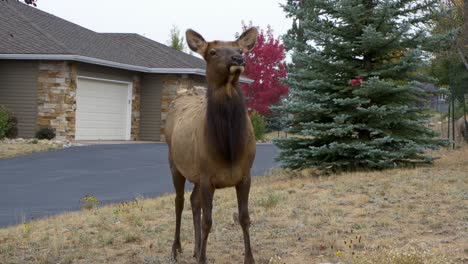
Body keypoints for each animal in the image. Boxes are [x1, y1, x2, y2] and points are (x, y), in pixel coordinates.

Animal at [164, 27, 260, 262]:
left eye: (239, 49)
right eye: (213, 52)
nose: (238, 59)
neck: (229, 149)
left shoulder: (245, 176)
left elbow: (244, 218)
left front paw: (249, 258)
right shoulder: (208, 177)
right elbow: (208, 221)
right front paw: (203, 259)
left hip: (196, 175)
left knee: (193, 201)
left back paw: (196, 248)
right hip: (174, 163)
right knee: (179, 202)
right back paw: (176, 248)